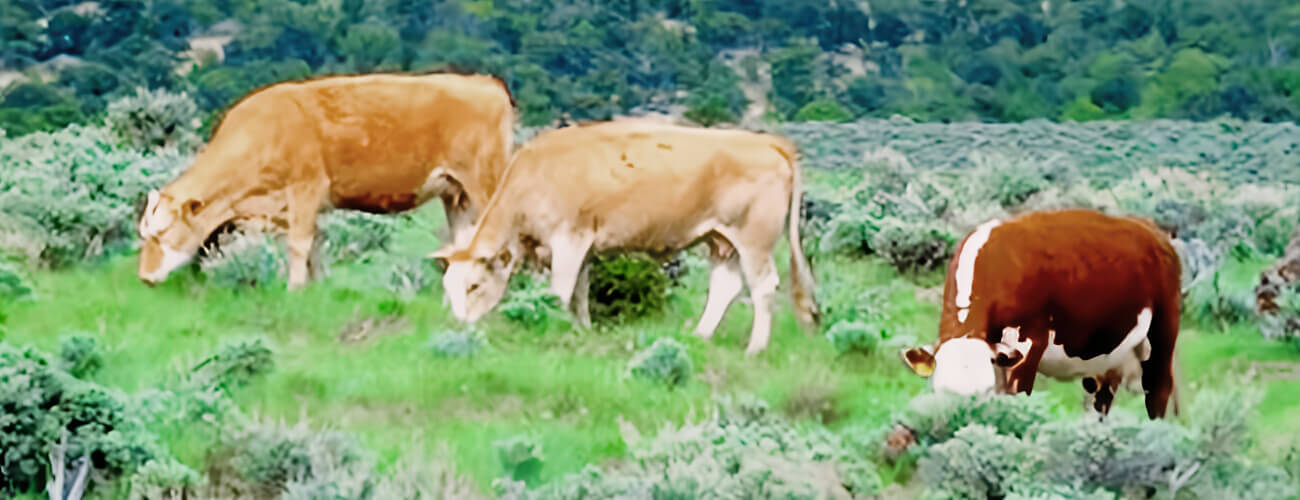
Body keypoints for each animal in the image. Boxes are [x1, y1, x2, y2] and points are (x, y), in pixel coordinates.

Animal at [136, 71, 516, 290]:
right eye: (144, 234)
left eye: (162, 233)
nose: (145, 276)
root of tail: (483, 82)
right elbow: (315, 244)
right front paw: (318, 286)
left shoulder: (305, 189)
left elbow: (299, 244)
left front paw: (294, 290)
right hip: (456, 194)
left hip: (486, 181)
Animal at [428, 119, 821, 356]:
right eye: (448, 288)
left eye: (474, 286)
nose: (458, 327)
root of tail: (769, 143)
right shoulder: (581, 248)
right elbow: (580, 292)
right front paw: (583, 329)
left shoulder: (569, 240)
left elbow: (561, 291)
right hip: (721, 241)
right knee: (726, 287)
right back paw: (699, 336)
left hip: (753, 241)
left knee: (764, 286)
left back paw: (755, 348)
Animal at [898, 208, 1183, 419]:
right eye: (942, 394)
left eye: (984, 394)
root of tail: (1152, 230)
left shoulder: (1028, 346)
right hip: (1109, 355)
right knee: (1102, 397)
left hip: (1162, 333)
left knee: (1158, 390)